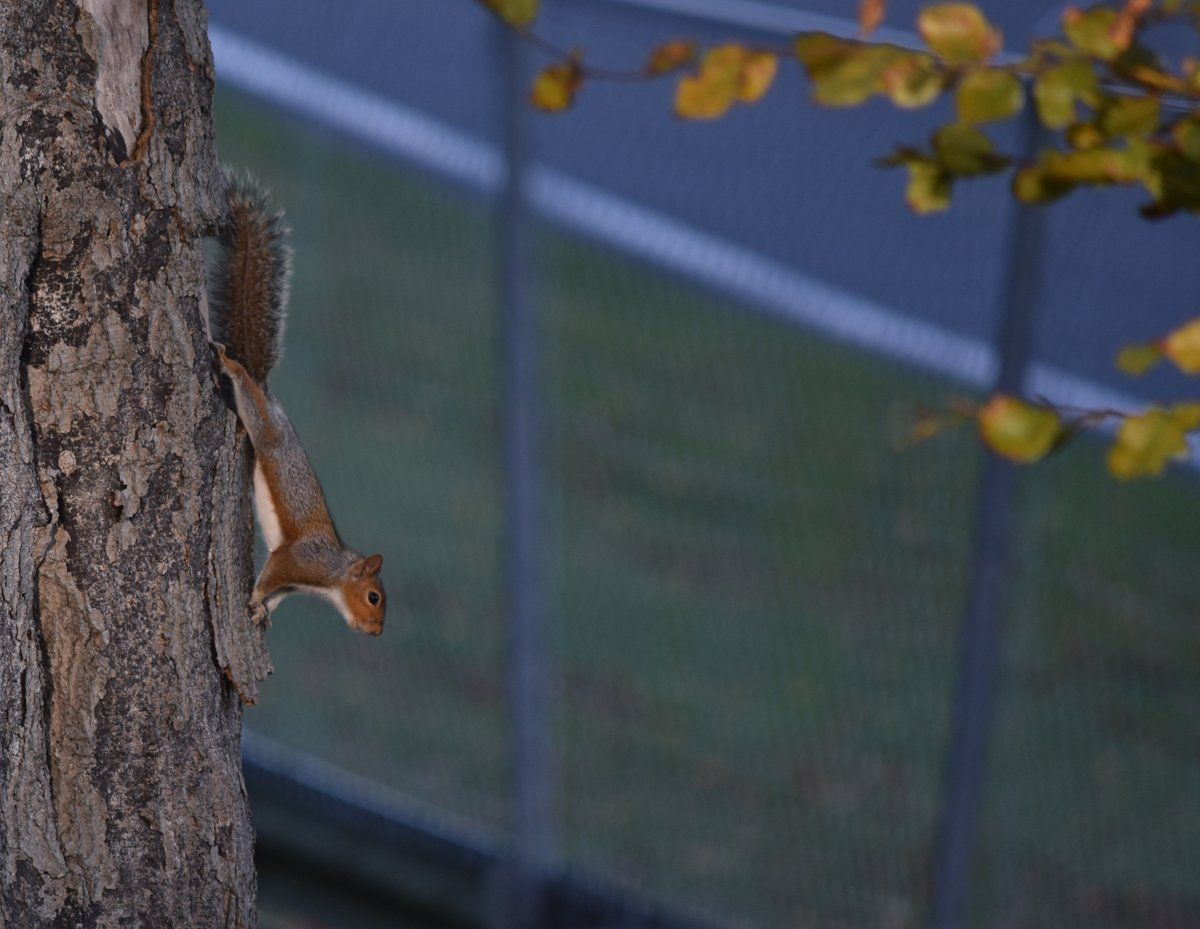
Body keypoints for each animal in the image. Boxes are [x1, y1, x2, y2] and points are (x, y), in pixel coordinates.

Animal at [209, 172, 386, 636]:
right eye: (373, 597)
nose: (376, 631)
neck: (334, 576)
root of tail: (267, 392)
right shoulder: (296, 561)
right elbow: (269, 574)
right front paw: (254, 599)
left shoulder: (296, 583)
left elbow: (278, 595)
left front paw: (263, 613)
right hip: (262, 423)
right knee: (246, 395)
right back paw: (232, 366)